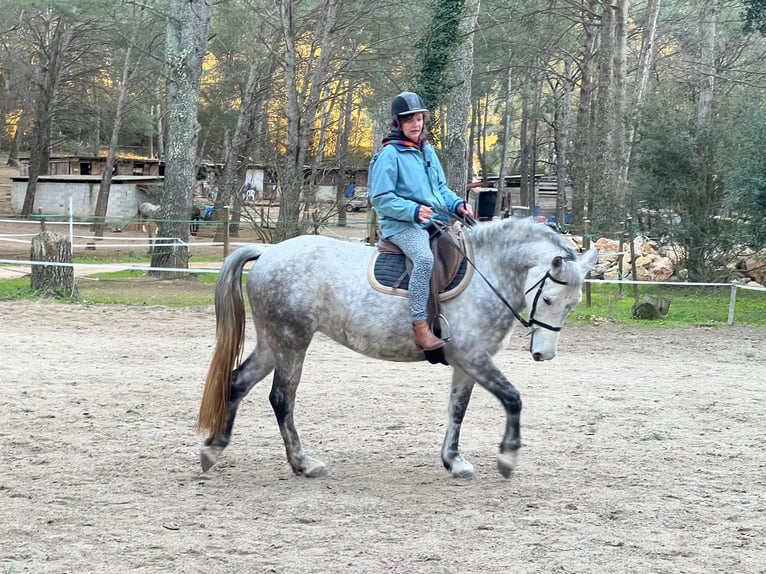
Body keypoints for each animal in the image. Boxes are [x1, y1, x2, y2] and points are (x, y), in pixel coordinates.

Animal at [196, 217, 599, 479]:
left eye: (573, 305)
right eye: (548, 299)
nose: (543, 354)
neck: (489, 272)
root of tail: (268, 253)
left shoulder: (466, 363)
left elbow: (457, 410)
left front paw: (453, 461)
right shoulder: (472, 356)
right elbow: (513, 398)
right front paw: (508, 458)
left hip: (273, 343)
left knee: (237, 383)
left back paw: (213, 449)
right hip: (293, 342)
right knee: (281, 399)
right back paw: (303, 463)